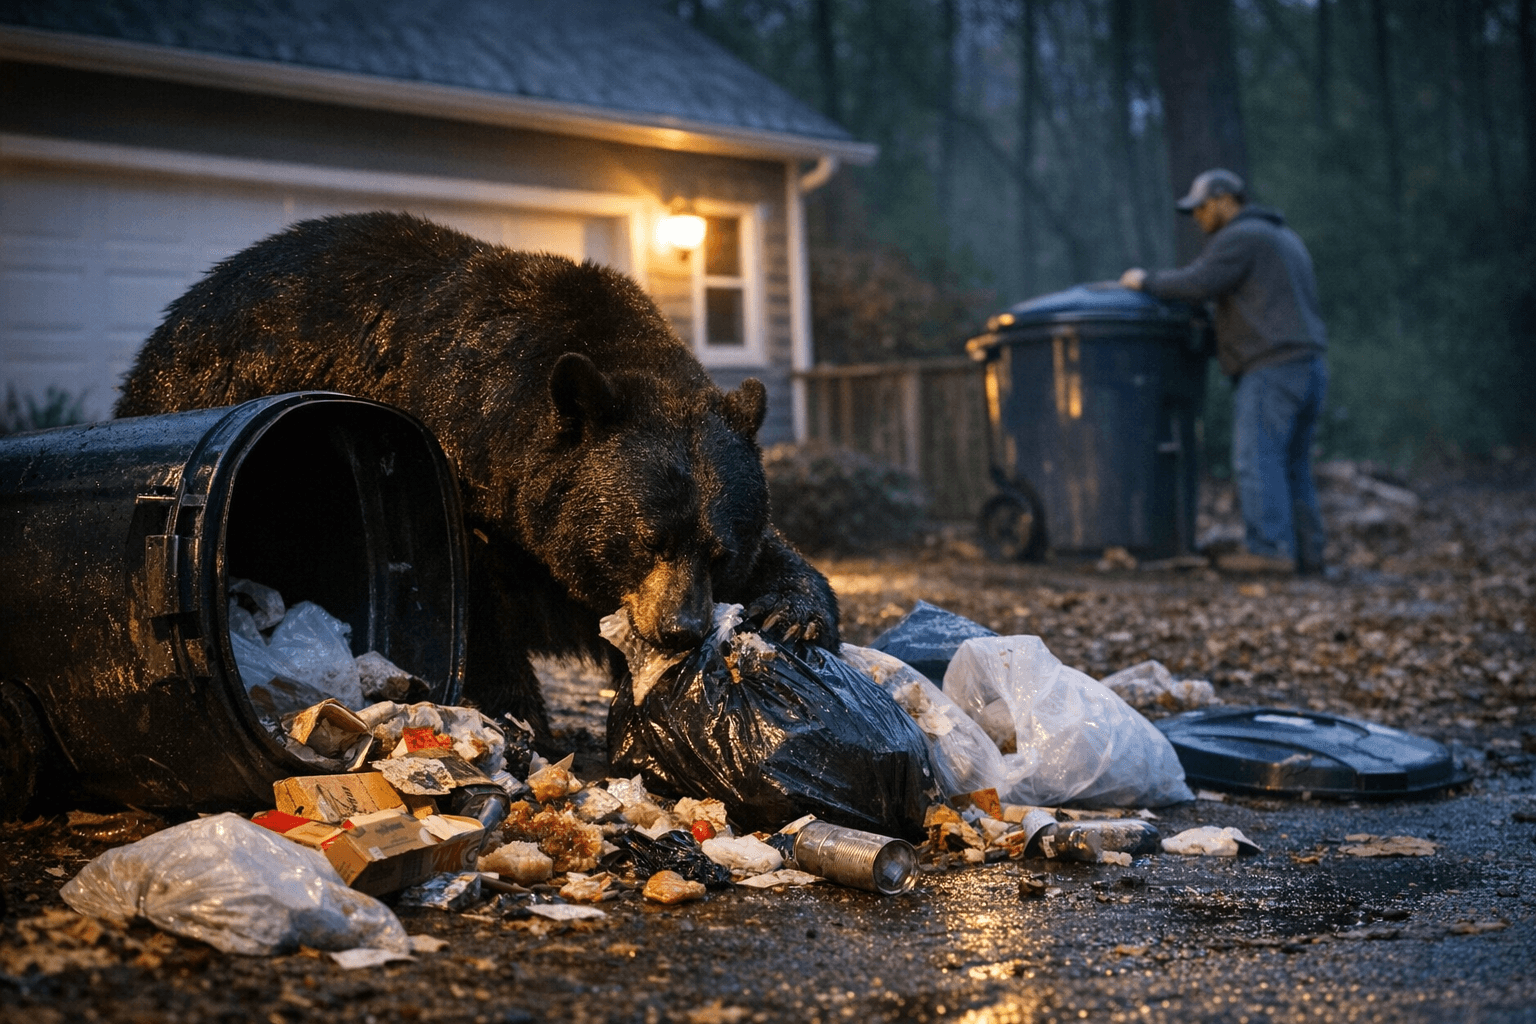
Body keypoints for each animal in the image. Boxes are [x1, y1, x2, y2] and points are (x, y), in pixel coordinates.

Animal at [115, 211, 840, 741]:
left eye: (719, 551)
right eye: (644, 541)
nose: (681, 629)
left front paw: (793, 615)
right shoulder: (464, 483)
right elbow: (473, 607)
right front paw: (518, 717)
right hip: (206, 387)